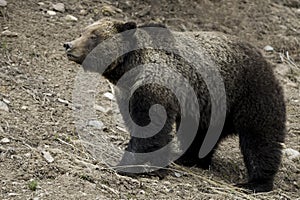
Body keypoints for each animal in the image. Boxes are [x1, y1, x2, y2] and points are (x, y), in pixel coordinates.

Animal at [65, 18, 286, 192]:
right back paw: (190, 158)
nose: (68, 45)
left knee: (260, 138)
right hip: (208, 106)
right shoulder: (127, 94)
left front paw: (125, 165)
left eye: (94, 36)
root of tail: (263, 58)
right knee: (201, 134)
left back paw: (255, 182)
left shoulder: (153, 87)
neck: (129, 69)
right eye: (82, 31)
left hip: (249, 92)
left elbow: (149, 130)